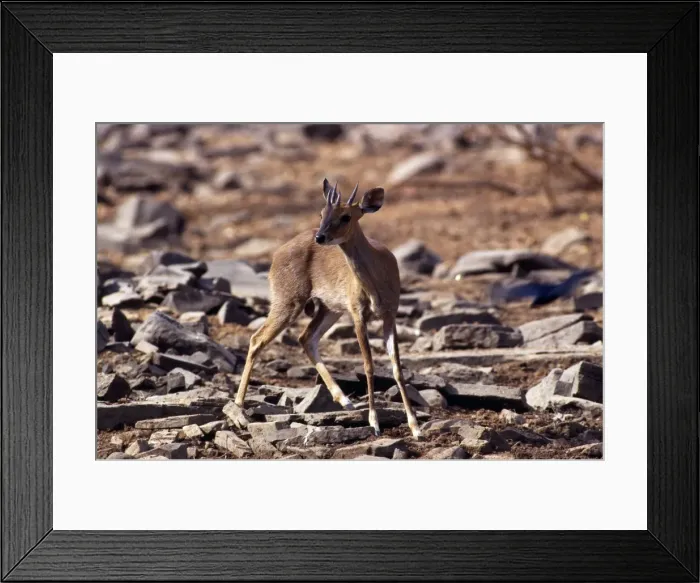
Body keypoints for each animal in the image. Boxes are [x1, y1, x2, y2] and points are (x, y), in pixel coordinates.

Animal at [233, 179, 422, 438]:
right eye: (322, 212)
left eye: (346, 216)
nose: (321, 237)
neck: (377, 281)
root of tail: (276, 255)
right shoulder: (357, 313)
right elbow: (369, 365)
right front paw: (374, 423)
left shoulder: (389, 314)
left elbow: (397, 368)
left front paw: (415, 426)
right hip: (289, 301)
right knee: (257, 339)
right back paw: (239, 411)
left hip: (329, 309)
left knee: (306, 338)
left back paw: (345, 400)